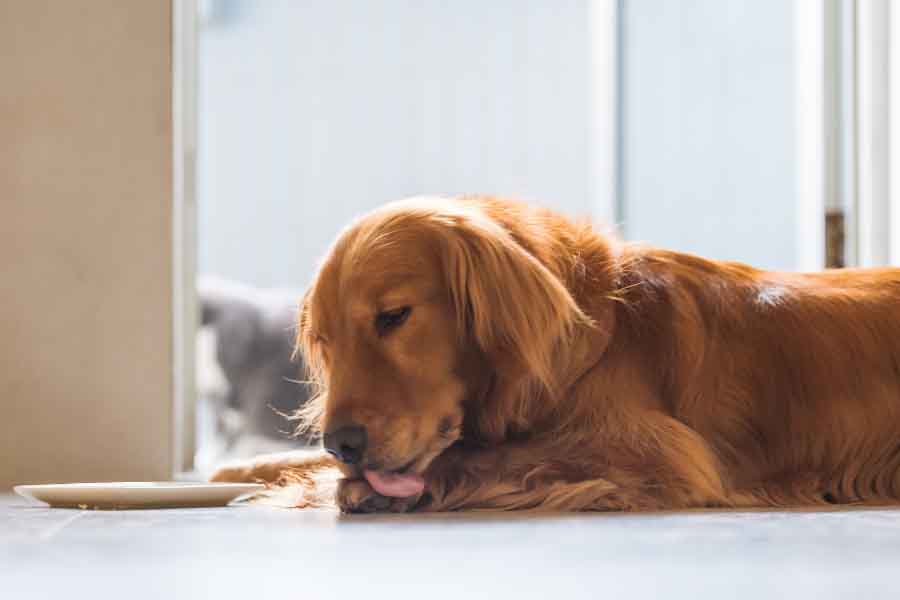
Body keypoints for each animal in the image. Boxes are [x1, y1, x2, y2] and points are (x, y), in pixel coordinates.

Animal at [213, 196, 900, 510]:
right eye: (326, 342)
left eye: (393, 317)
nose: (344, 443)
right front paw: (245, 469)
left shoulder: (661, 453)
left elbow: (499, 456)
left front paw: (356, 487)